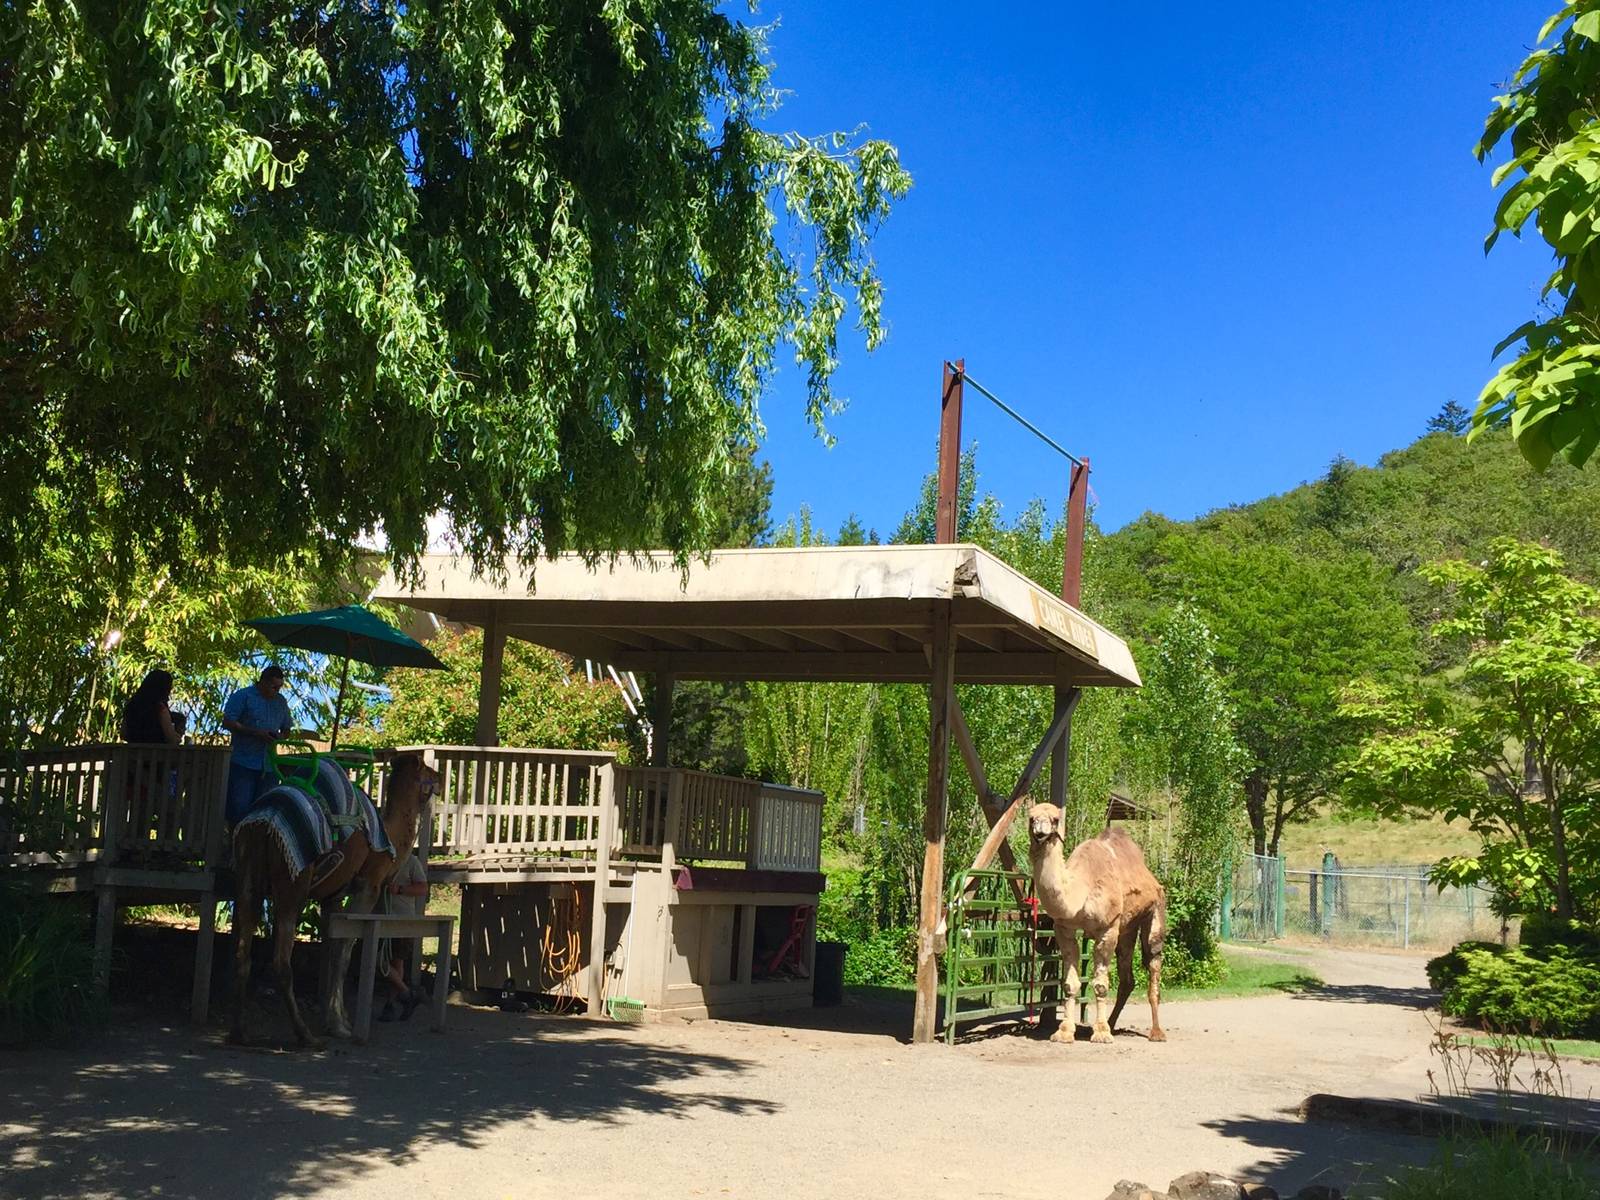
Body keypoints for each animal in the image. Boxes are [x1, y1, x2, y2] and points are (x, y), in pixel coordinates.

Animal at [229, 751, 439, 1048]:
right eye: (428, 771)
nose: (441, 778)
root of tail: (263, 822)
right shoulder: (368, 887)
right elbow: (345, 953)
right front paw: (340, 1025)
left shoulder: (333, 896)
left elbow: (331, 952)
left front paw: (336, 1018)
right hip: (292, 883)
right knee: (281, 960)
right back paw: (305, 1035)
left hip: (248, 875)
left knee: (242, 951)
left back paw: (240, 1032)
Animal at [1027, 801, 1166, 1045]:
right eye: (1031, 817)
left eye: (1055, 819)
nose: (1040, 832)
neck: (1080, 890)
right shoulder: (1064, 928)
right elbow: (1070, 983)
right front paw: (1064, 1032)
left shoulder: (1107, 928)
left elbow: (1101, 984)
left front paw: (1101, 1034)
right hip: (1127, 928)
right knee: (1127, 977)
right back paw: (1112, 1023)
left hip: (1155, 908)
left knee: (1153, 957)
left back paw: (1156, 1033)